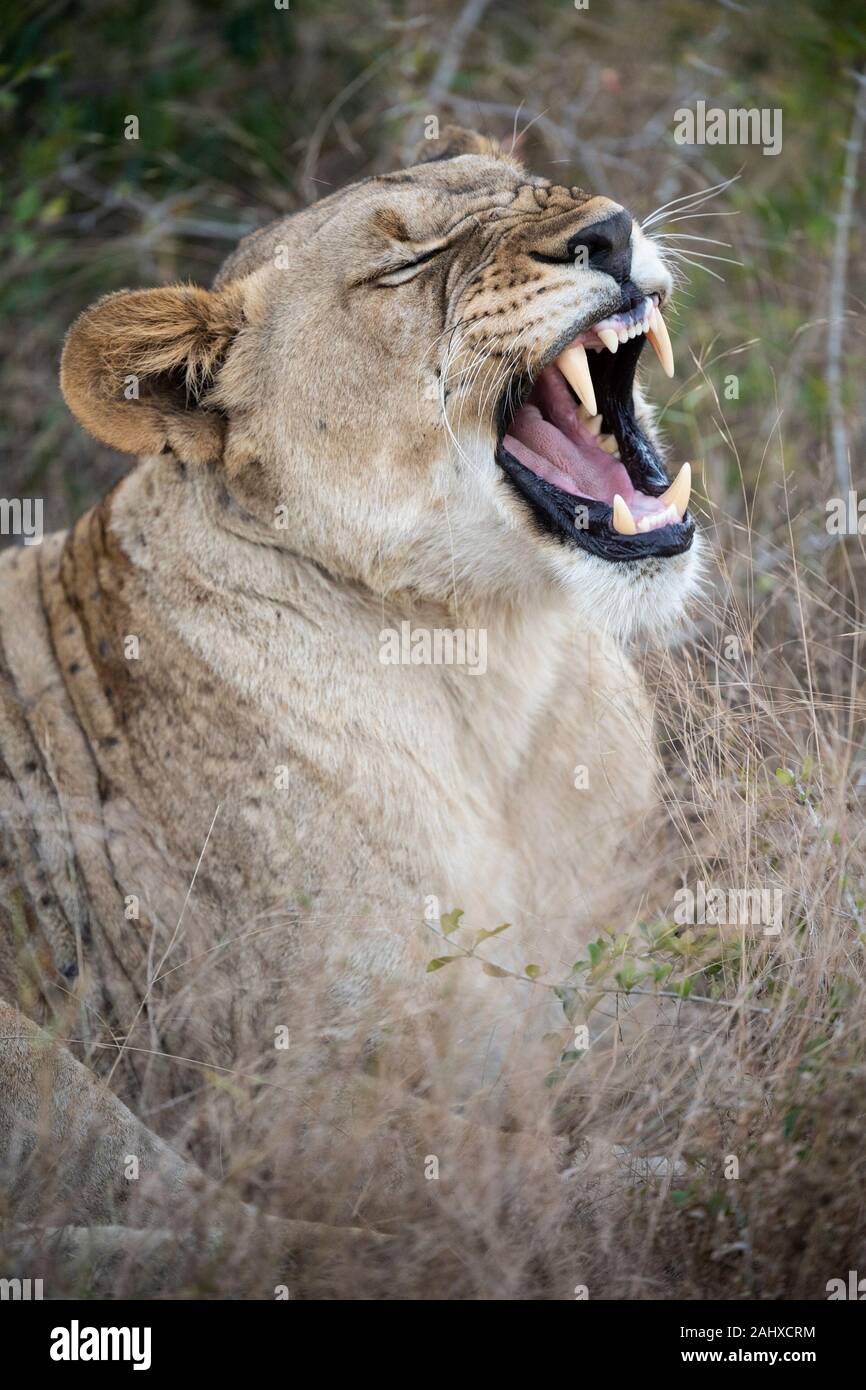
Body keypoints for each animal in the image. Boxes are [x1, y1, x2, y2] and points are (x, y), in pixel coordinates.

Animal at [0, 127, 700, 1293]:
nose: (606, 230)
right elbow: (480, 1158)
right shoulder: (264, 1082)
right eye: (405, 267)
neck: (497, 658)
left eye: (531, 188)